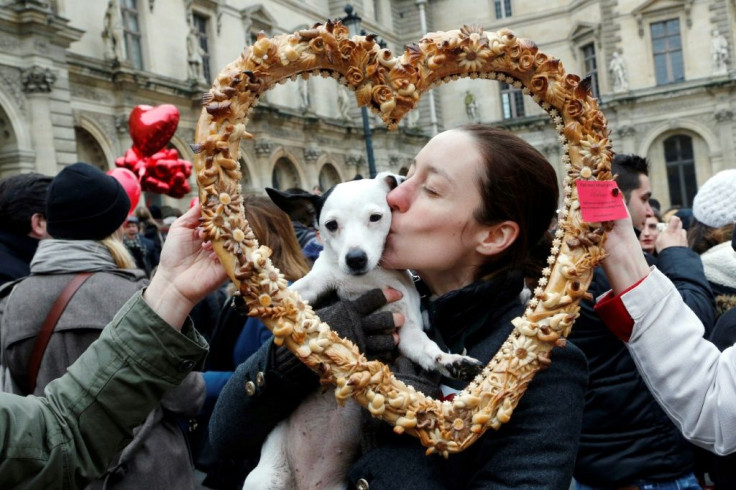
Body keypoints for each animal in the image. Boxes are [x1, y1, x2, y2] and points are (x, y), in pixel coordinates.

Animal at [250, 174, 484, 488]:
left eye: (376, 217)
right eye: (331, 225)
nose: (356, 258)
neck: (370, 280)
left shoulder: (406, 329)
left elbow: (428, 350)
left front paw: (451, 362)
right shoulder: (319, 281)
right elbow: (297, 291)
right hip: (265, 477)